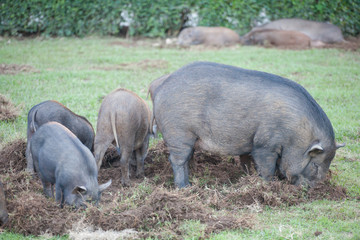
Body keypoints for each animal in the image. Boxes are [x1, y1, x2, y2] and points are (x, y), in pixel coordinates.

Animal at [150, 61, 344, 188]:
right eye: (316, 165)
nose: (313, 189)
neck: (296, 133)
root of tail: (160, 85)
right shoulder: (265, 144)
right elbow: (266, 166)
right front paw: (268, 185)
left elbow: (249, 162)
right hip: (178, 132)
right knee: (178, 159)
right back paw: (185, 187)